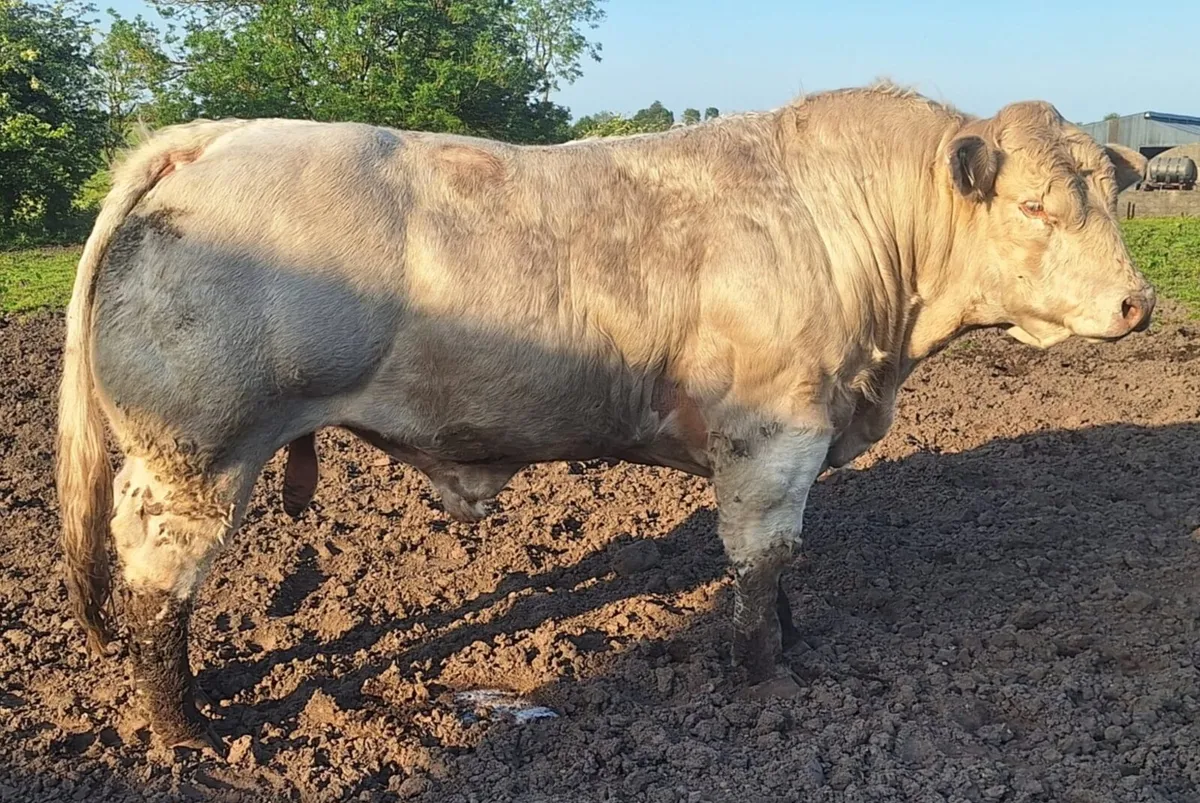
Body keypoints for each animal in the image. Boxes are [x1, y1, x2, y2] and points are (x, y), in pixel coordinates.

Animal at [57, 82, 1155, 754]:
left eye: (1111, 198)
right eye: (1038, 208)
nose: (1138, 303)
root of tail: (213, 136)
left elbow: (782, 565)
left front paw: (791, 640)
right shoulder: (772, 436)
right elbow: (760, 560)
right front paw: (762, 676)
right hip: (194, 455)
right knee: (157, 592)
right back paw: (191, 731)